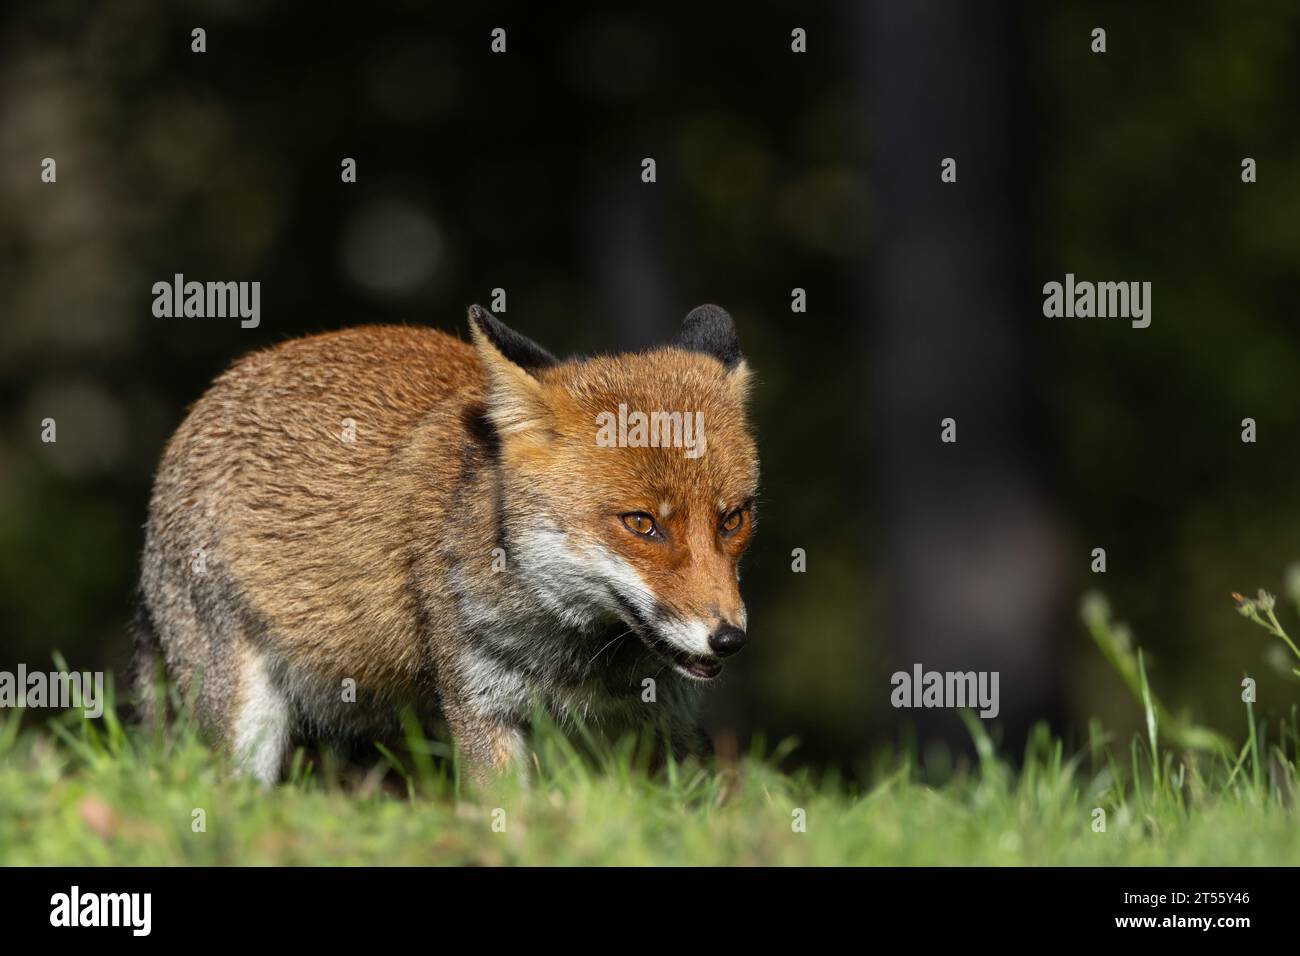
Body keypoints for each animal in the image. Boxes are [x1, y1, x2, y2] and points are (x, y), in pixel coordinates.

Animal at [133, 304, 758, 783]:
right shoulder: (481, 703)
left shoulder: (666, 722)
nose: (728, 639)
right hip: (243, 717)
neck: (580, 660)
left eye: (732, 519)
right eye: (642, 524)